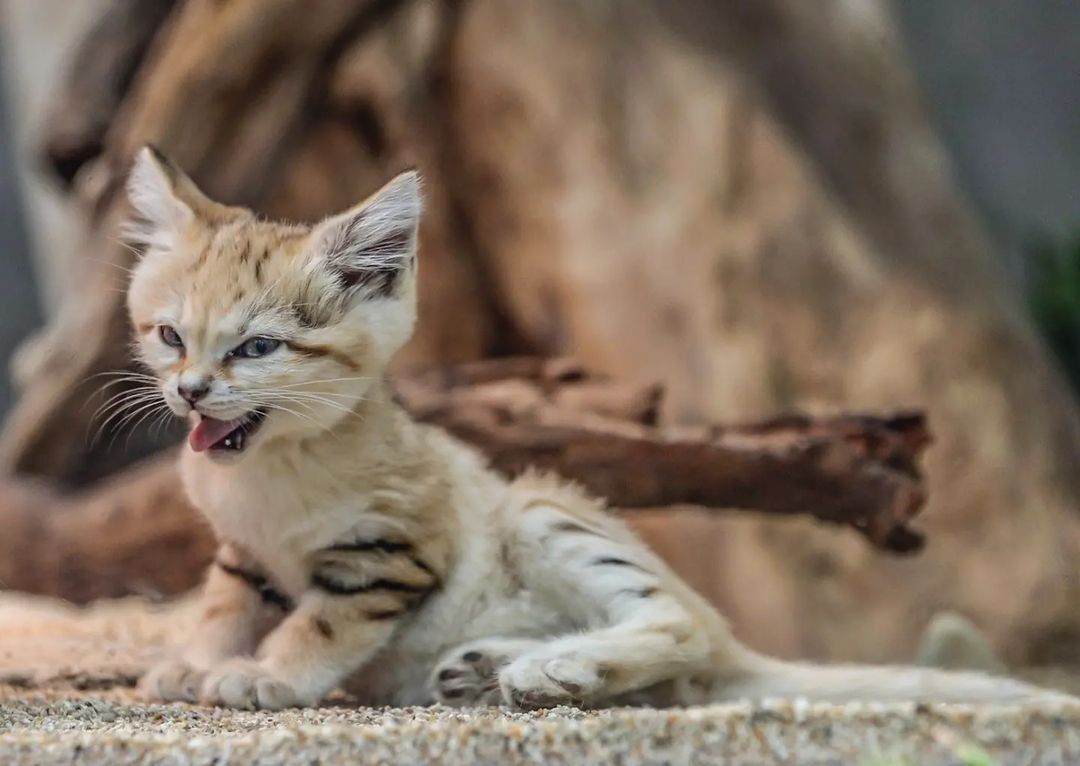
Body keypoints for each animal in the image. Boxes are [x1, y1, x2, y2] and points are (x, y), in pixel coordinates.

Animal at [128, 146, 1071, 708]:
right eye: (170, 336)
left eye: (257, 348)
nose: (191, 392)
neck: (267, 476)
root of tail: (740, 648)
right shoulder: (241, 553)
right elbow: (224, 606)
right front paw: (197, 661)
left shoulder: (389, 555)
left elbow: (315, 624)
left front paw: (263, 678)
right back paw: (490, 665)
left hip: (546, 509)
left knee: (684, 631)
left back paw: (557, 665)